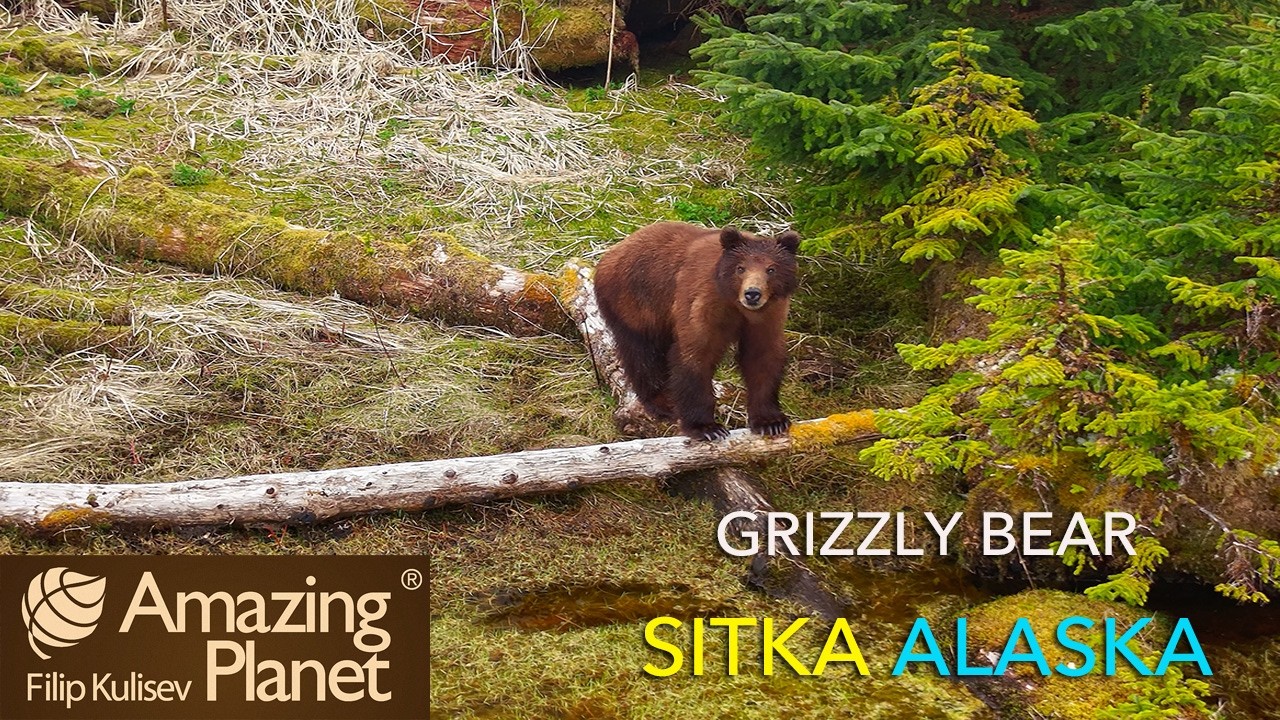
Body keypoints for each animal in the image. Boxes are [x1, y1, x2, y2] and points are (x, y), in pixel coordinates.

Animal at [593, 221, 800, 441]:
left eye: (771, 269)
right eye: (740, 268)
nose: (752, 293)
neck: (734, 304)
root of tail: (611, 252)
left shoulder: (767, 316)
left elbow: (762, 358)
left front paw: (771, 422)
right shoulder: (702, 302)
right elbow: (696, 354)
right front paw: (707, 427)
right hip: (635, 303)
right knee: (642, 354)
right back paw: (663, 402)